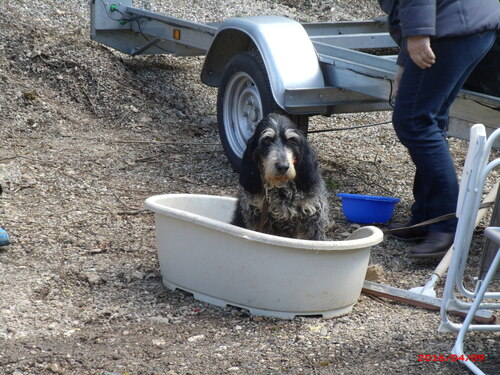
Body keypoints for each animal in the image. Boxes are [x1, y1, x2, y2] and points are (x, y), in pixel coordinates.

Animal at [230, 113, 328, 241]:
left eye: (292, 140)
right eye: (266, 140)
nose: (283, 167)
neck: (281, 188)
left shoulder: (312, 217)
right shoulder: (258, 217)